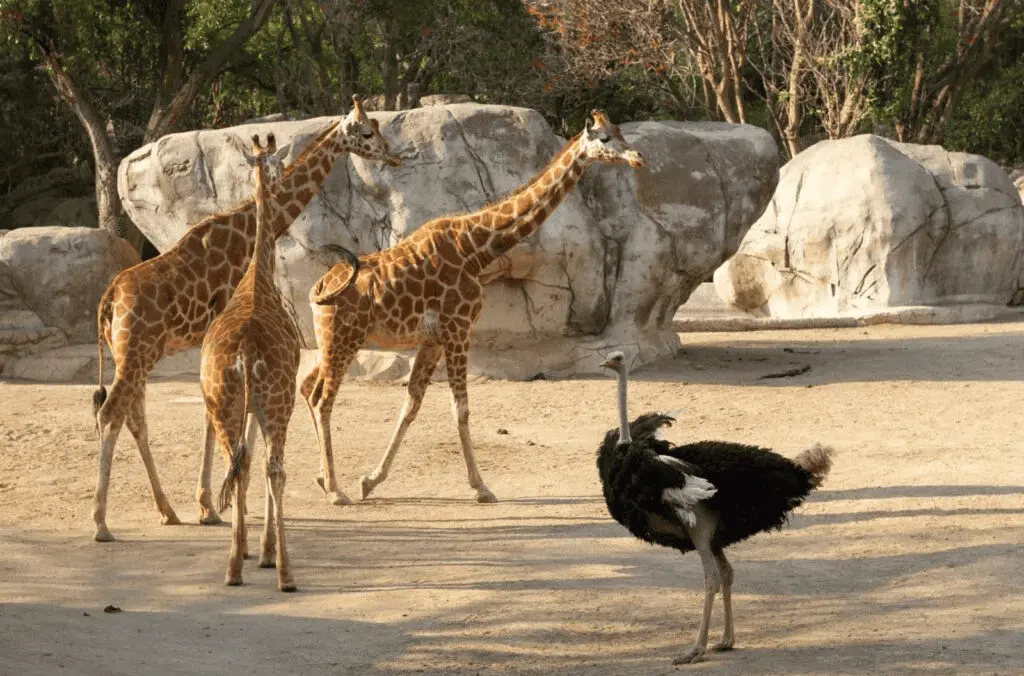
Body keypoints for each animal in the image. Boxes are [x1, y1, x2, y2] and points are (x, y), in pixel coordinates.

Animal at [93, 95, 399, 540]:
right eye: (366, 132)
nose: (394, 155)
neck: (246, 231)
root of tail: (108, 299)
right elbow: (215, 416)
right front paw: (214, 505)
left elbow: (211, 414)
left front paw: (210, 504)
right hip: (137, 351)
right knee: (111, 413)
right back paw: (101, 521)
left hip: (132, 354)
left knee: (134, 417)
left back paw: (167, 510)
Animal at [299, 108, 643, 503]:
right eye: (604, 137)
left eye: (619, 130)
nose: (638, 158)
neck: (476, 247)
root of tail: (318, 287)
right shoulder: (459, 328)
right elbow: (460, 408)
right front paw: (481, 487)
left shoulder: (433, 339)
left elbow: (411, 404)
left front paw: (371, 480)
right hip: (343, 340)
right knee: (323, 399)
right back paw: (335, 491)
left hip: (330, 342)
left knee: (307, 389)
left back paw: (323, 478)